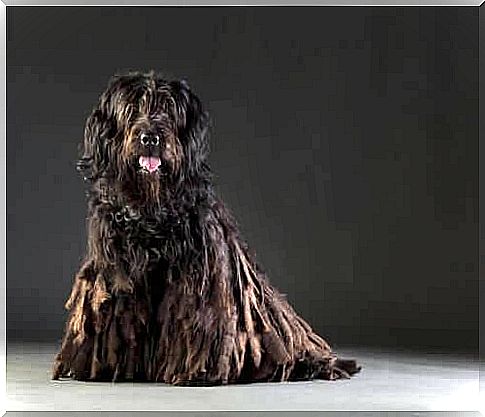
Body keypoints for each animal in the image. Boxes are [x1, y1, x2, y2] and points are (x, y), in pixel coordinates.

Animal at [53, 70, 362, 384]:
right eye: (131, 109)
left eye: (168, 110)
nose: (150, 138)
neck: (152, 210)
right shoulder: (117, 273)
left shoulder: (198, 279)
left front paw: (192, 372)